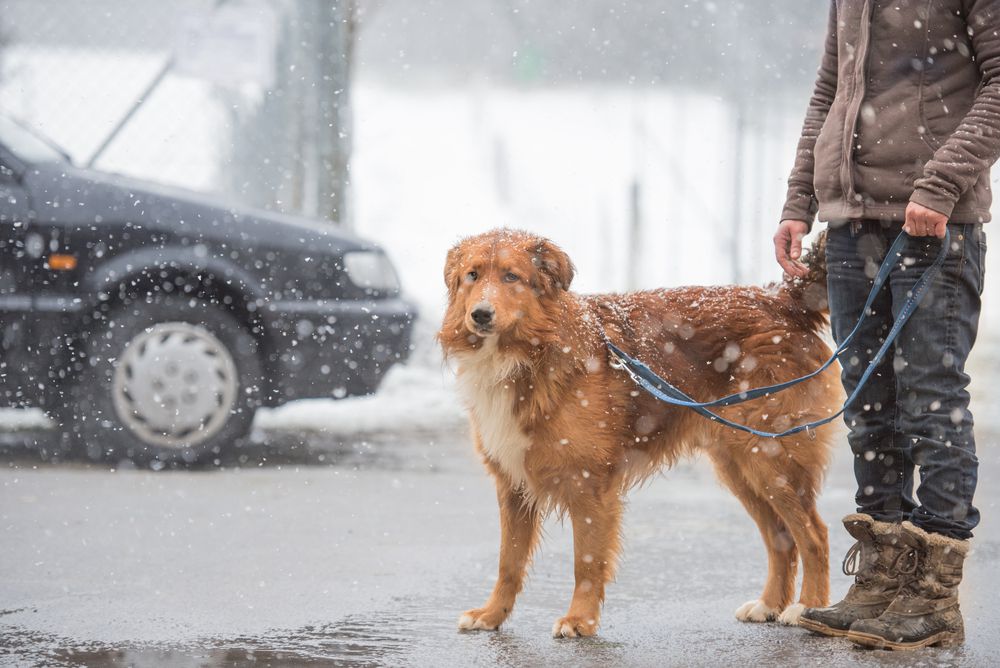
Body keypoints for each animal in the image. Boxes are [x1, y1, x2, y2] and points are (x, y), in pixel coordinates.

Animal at [442, 228, 840, 636]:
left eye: (512, 277)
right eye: (472, 275)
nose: (480, 314)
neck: (528, 353)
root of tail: (781, 301)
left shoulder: (589, 484)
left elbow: (586, 562)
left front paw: (579, 620)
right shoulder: (512, 485)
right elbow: (508, 562)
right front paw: (492, 614)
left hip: (771, 458)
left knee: (815, 535)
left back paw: (807, 607)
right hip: (739, 465)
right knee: (780, 539)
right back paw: (769, 605)